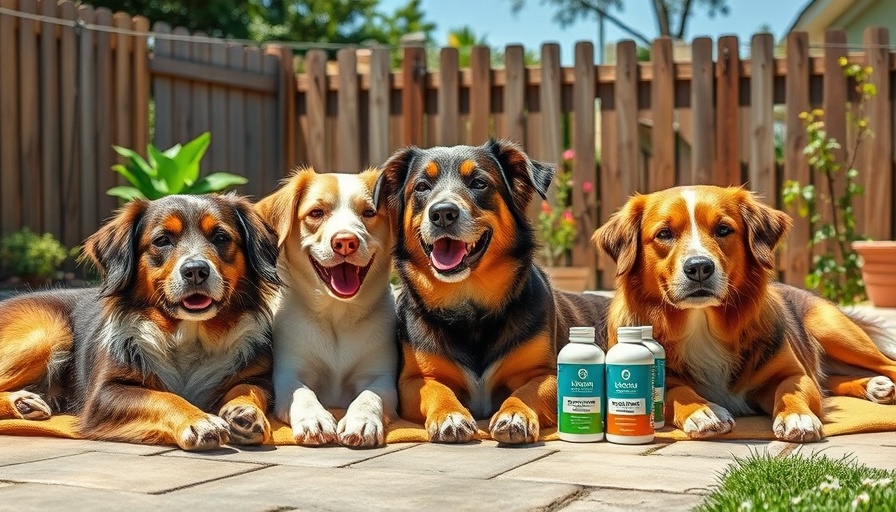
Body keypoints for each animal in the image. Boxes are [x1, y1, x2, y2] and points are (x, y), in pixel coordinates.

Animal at [0, 194, 280, 450]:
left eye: (221, 237)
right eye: (162, 240)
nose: (195, 271)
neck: (189, 336)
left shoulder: (260, 378)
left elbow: (248, 388)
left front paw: (245, 412)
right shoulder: (105, 393)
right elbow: (162, 397)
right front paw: (199, 420)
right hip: (46, 332)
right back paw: (22, 401)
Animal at [256, 166, 396, 446]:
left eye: (369, 212)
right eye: (316, 213)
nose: (345, 241)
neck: (337, 317)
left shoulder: (381, 376)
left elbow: (370, 396)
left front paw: (362, 421)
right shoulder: (289, 374)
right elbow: (302, 394)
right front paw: (315, 418)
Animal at [372, 140, 608, 444]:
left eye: (479, 183)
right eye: (422, 186)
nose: (442, 213)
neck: (470, 309)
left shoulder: (547, 373)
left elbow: (526, 392)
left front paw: (515, 414)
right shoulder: (413, 381)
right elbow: (436, 390)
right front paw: (450, 415)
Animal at [596, 186, 896, 442]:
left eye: (723, 229)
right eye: (664, 234)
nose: (699, 267)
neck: (702, 323)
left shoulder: (795, 373)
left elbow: (791, 389)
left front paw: (797, 417)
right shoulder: (663, 376)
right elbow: (675, 391)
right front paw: (702, 411)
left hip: (834, 331)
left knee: (884, 365)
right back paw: (874, 386)